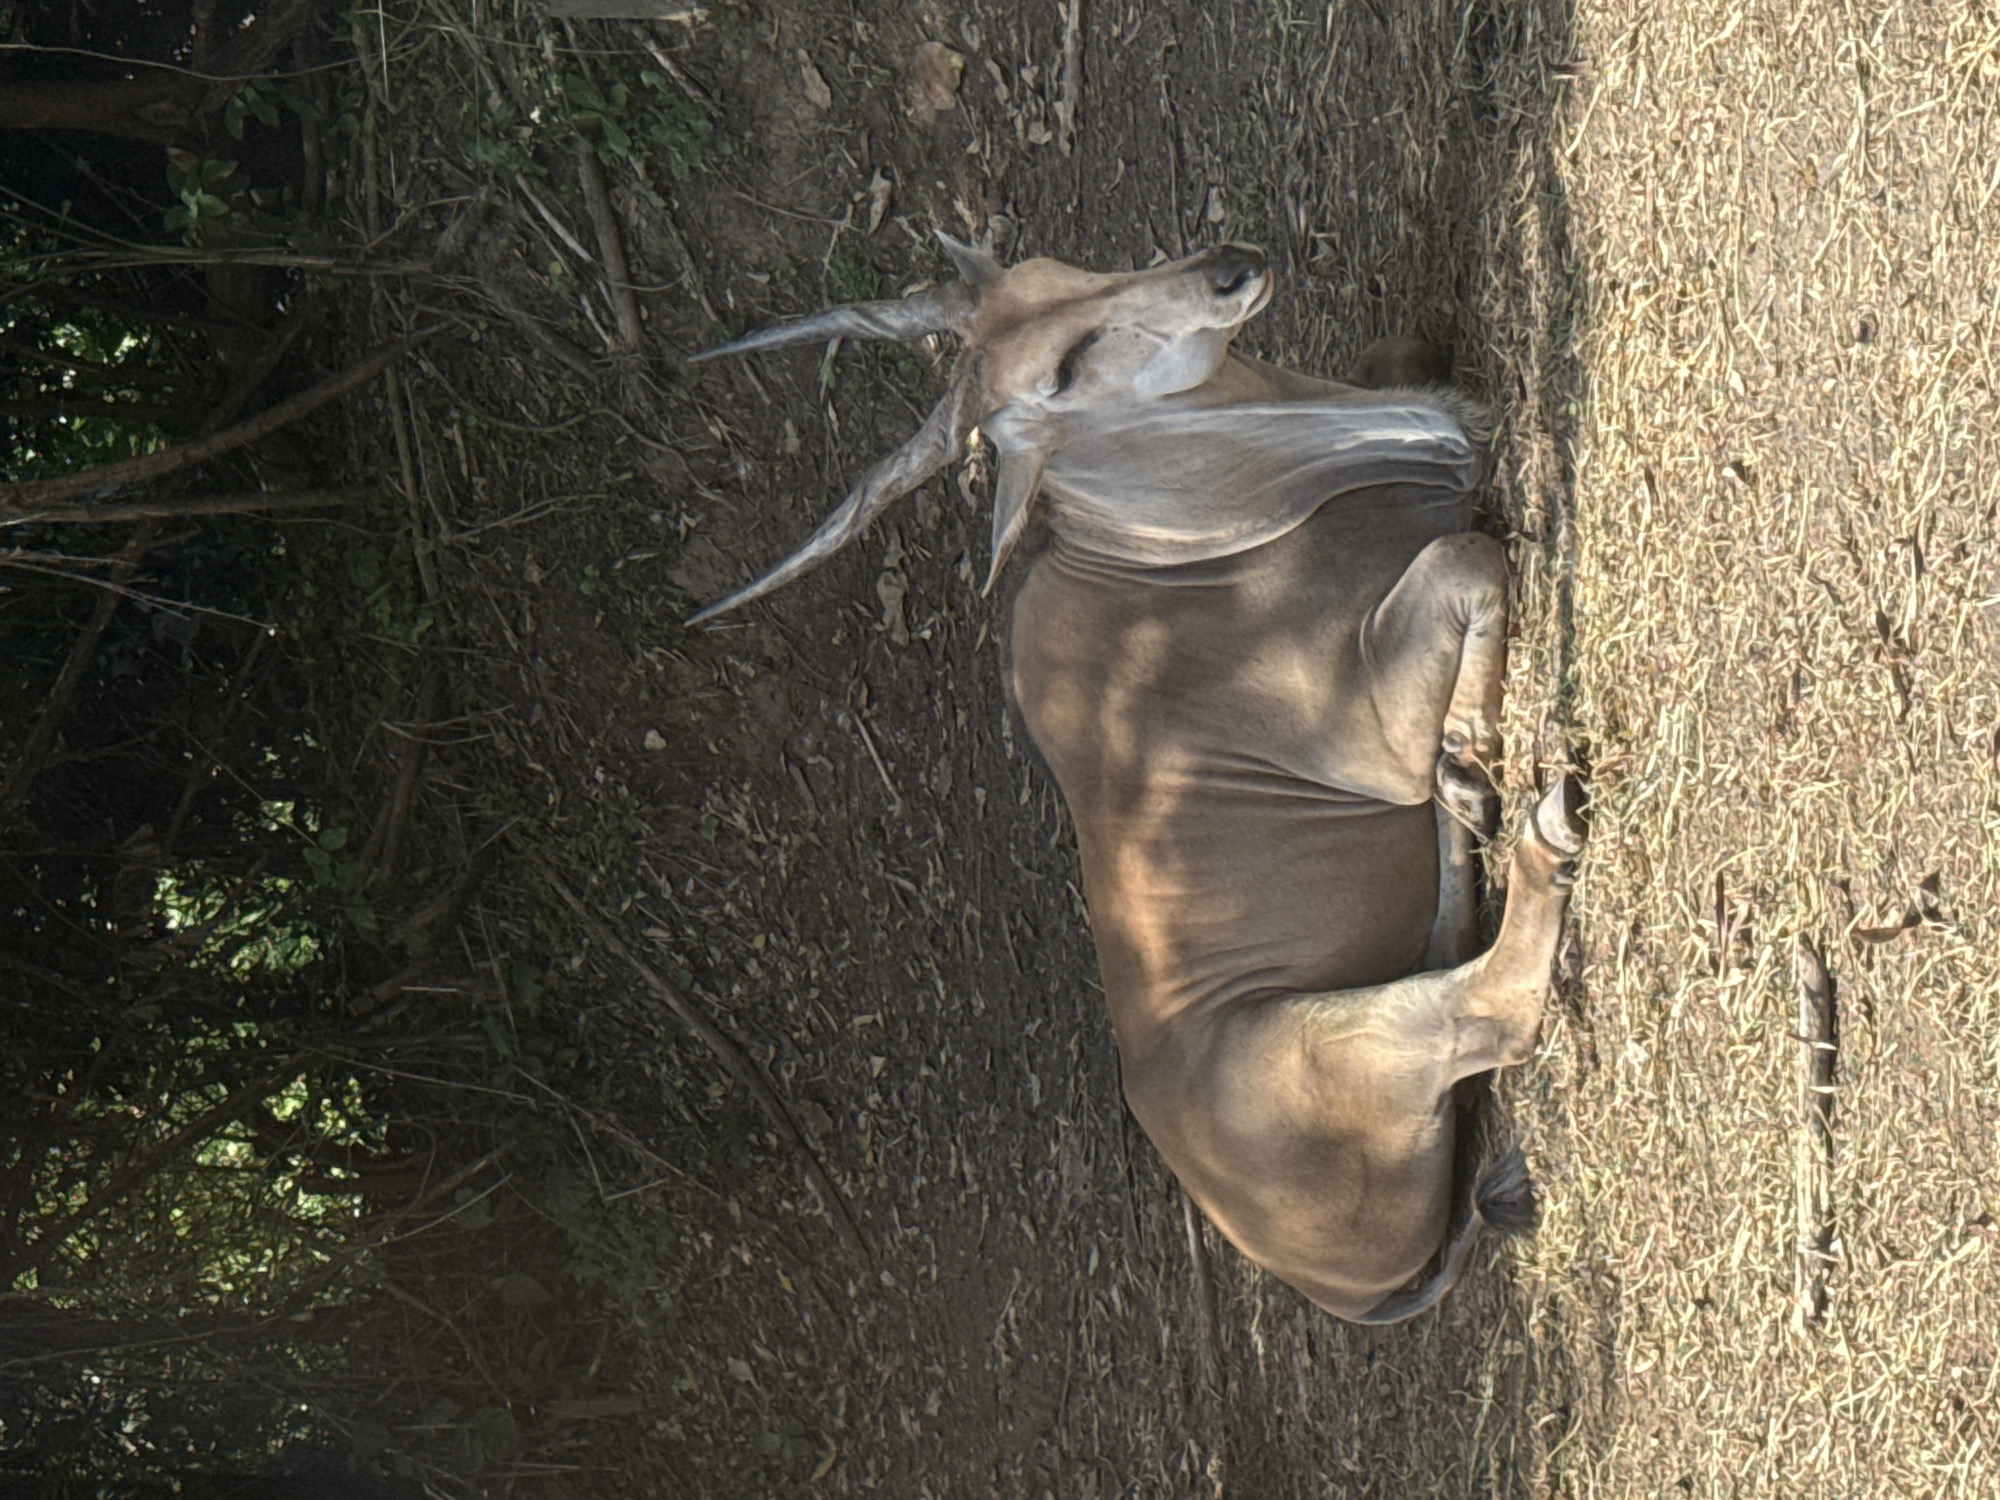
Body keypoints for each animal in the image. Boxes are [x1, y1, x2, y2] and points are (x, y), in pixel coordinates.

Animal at [688, 237, 1586, 1322]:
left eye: (1053, 268)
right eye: (1064, 369)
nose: (1228, 268)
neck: (1168, 545)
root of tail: (1339, 1291)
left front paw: (1465, 763)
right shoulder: (1372, 742)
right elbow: (1469, 550)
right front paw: (1472, 752)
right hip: (1342, 1031)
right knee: (1489, 1007)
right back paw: (1541, 832)